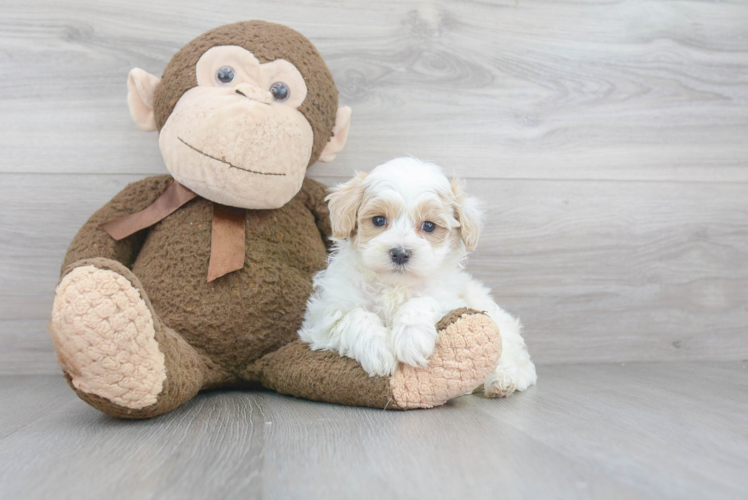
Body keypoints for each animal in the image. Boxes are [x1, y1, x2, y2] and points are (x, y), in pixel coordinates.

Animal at [298, 158, 536, 396]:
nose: (400, 253)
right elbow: (355, 315)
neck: (394, 286)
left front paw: (411, 338)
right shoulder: (324, 317)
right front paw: (377, 349)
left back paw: (501, 382)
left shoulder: (449, 300)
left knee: (516, 361)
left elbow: (421, 302)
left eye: (429, 225)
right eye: (378, 220)